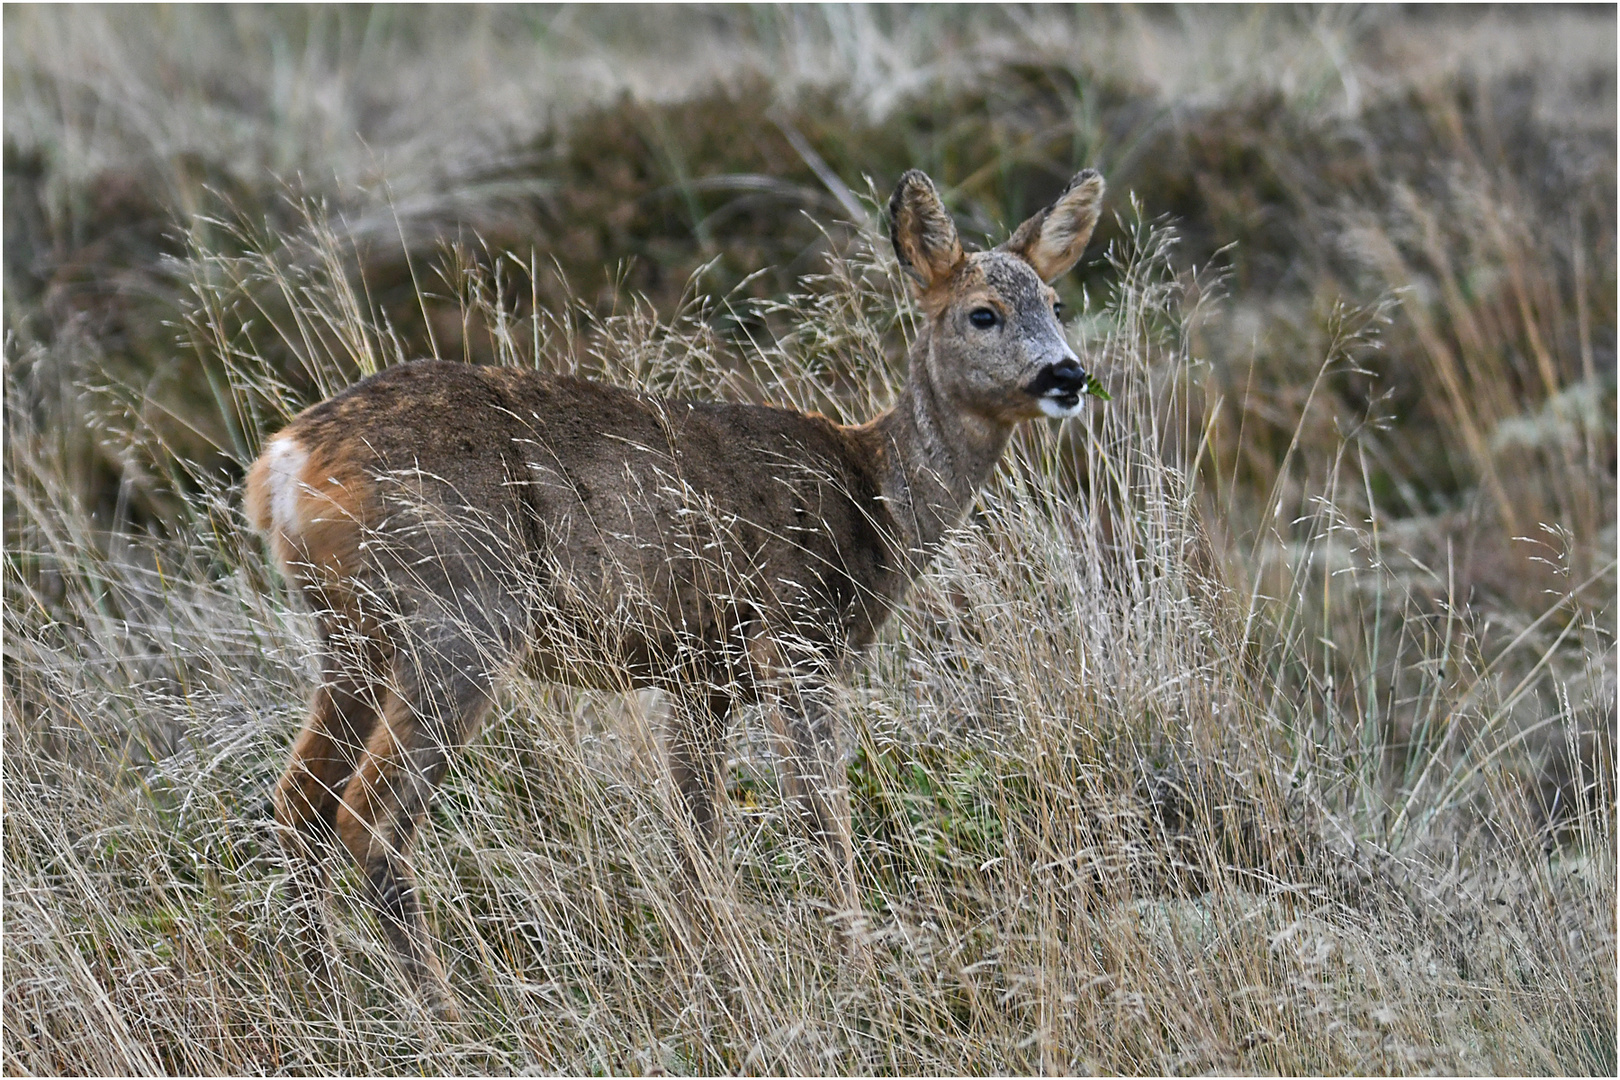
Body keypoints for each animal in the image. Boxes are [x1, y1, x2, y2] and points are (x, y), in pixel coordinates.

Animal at [249, 165, 1101, 1016]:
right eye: (982, 313)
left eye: (1056, 304)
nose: (1067, 375)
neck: (877, 501)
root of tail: (286, 461)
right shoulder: (794, 641)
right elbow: (822, 818)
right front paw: (858, 978)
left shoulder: (698, 677)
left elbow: (696, 833)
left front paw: (709, 973)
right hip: (460, 617)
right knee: (368, 818)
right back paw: (441, 1018)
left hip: (353, 635)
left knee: (299, 805)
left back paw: (318, 997)